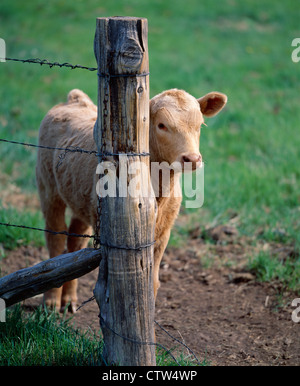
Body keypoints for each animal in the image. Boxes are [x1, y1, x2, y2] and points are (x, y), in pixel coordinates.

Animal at [36, 86, 226, 310]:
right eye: (162, 125)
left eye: (200, 125)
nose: (192, 159)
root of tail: (74, 100)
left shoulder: (163, 232)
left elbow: (153, 283)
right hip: (48, 187)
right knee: (55, 237)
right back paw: (51, 302)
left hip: (80, 200)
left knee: (75, 241)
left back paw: (69, 300)